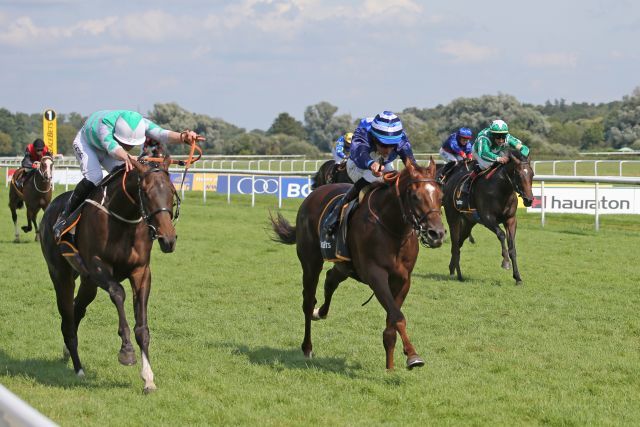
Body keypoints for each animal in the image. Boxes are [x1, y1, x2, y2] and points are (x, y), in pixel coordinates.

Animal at [39, 157, 180, 394]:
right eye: (145, 192)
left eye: (171, 191)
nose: (167, 239)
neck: (123, 220)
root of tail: (51, 207)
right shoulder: (97, 266)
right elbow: (118, 292)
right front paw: (126, 351)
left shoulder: (141, 271)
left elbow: (142, 327)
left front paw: (148, 378)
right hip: (61, 275)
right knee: (67, 318)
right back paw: (78, 368)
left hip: (88, 284)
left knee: (77, 310)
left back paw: (68, 351)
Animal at [270, 159, 444, 370]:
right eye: (415, 196)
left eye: (441, 196)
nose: (437, 234)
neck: (392, 228)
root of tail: (312, 195)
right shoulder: (376, 276)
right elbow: (398, 317)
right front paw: (413, 355)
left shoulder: (403, 279)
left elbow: (391, 323)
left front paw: (390, 368)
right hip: (311, 261)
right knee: (308, 301)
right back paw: (307, 347)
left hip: (344, 265)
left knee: (330, 279)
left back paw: (320, 312)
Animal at [440, 149, 536, 286]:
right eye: (518, 174)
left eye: (532, 174)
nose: (529, 200)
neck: (501, 190)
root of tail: (449, 180)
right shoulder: (487, 218)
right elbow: (501, 234)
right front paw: (505, 262)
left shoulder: (511, 220)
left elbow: (512, 248)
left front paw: (518, 277)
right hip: (453, 218)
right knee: (455, 244)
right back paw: (458, 274)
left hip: (468, 223)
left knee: (458, 243)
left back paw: (453, 269)